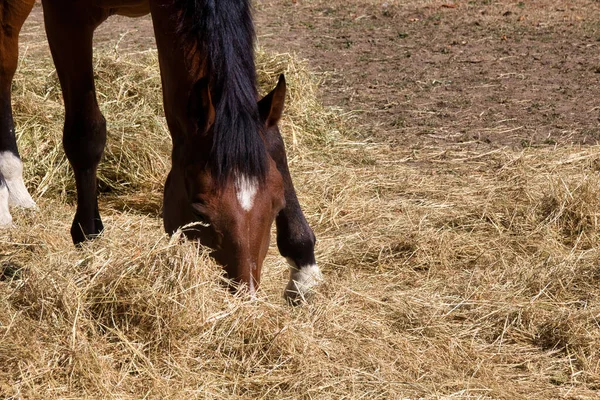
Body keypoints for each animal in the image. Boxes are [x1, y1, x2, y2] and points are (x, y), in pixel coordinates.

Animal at [0, 0, 324, 300]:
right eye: (198, 209)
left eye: (277, 205)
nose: (245, 294)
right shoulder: (67, 18)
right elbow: (86, 135)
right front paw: (89, 240)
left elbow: (272, 140)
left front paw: (304, 268)